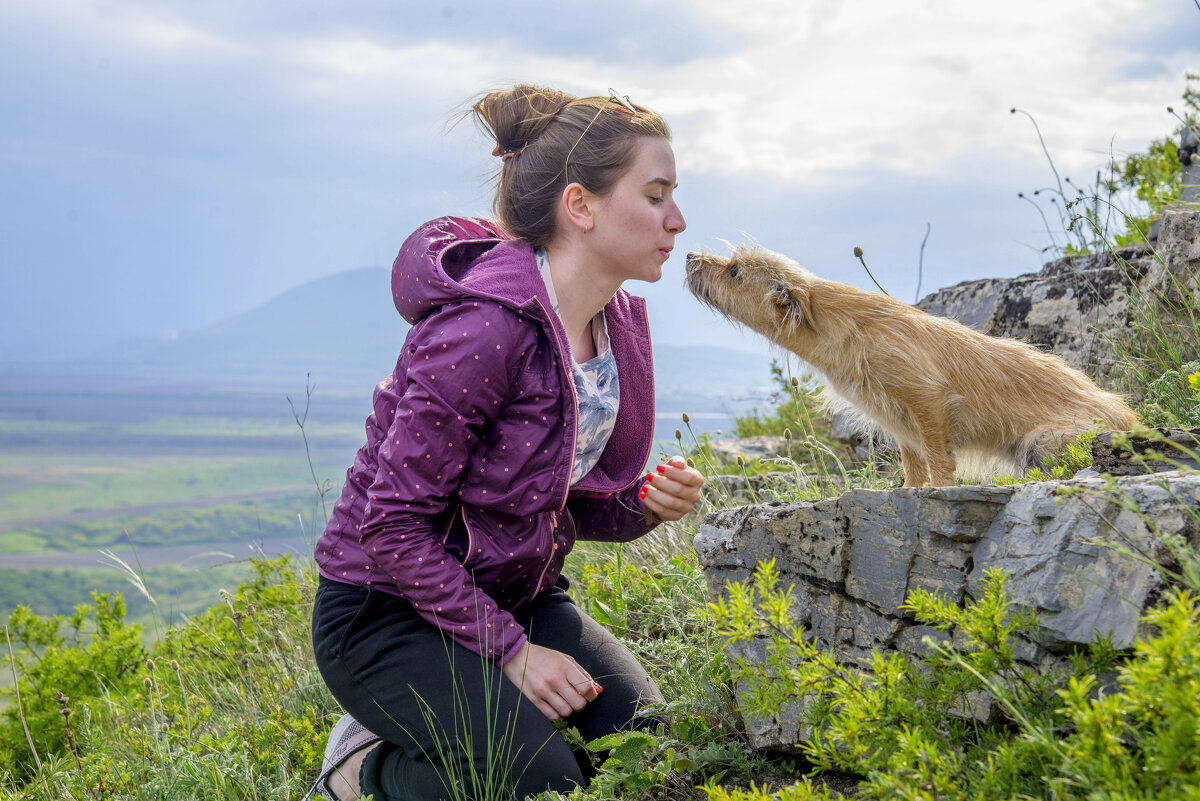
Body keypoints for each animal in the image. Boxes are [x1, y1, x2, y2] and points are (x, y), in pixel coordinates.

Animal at [686, 244, 1132, 484]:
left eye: (734, 270)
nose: (689, 255)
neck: (849, 330)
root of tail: (1132, 419)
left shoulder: (926, 401)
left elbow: (939, 462)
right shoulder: (900, 422)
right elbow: (914, 469)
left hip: (1042, 442)